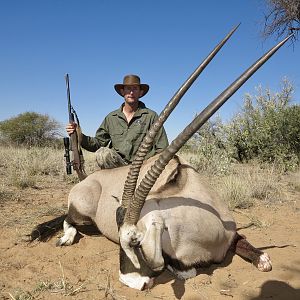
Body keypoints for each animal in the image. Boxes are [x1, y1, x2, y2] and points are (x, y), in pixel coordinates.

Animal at [32, 28, 292, 290]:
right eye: (121, 237)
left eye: (136, 240)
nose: (131, 282)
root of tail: (86, 180)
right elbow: (185, 270)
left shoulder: (231, 234)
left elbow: (257, 256)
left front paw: (261, 258)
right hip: (80, 212)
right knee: (68, 221)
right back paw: (65, 238)